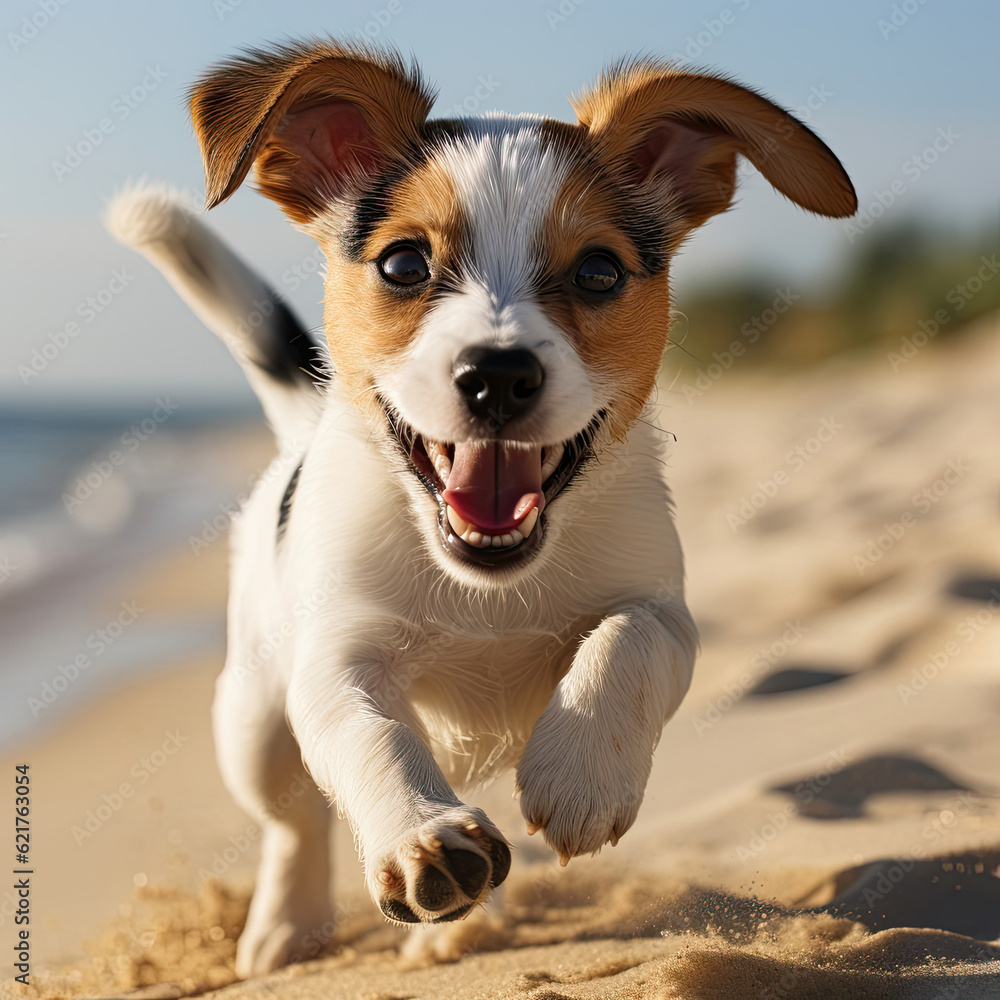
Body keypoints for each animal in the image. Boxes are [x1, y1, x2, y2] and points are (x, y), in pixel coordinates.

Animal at [109, 45, 860, 976]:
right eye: (401, 265)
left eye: (600, 272)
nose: (498, 375)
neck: (485, 586)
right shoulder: (338, 657)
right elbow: (372, 736)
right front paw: (421, 840)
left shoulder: (661, 606)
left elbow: (629, 641)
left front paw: (583, 773)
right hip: (250, 718)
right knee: (293, 819)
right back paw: (290, 922)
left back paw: (458, 927)